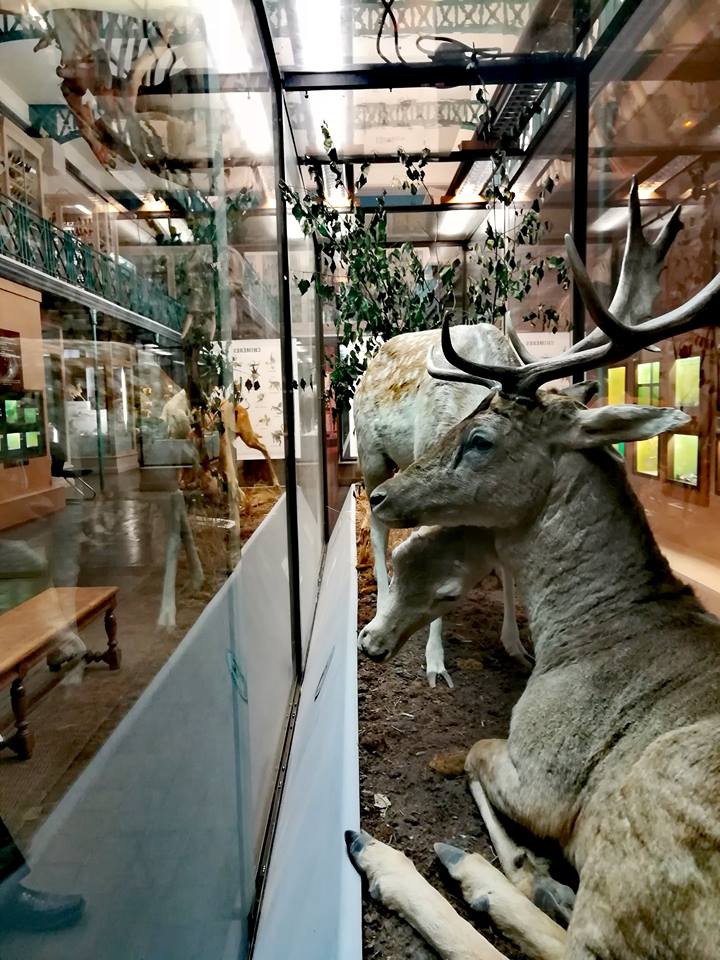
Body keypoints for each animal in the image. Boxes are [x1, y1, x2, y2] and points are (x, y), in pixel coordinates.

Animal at [348, 189, 720, 960]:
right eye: (463, 429)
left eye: (481, 439)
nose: (373, 647)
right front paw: (434, 661)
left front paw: (509, 643)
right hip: (367, 450)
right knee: (366, 519)